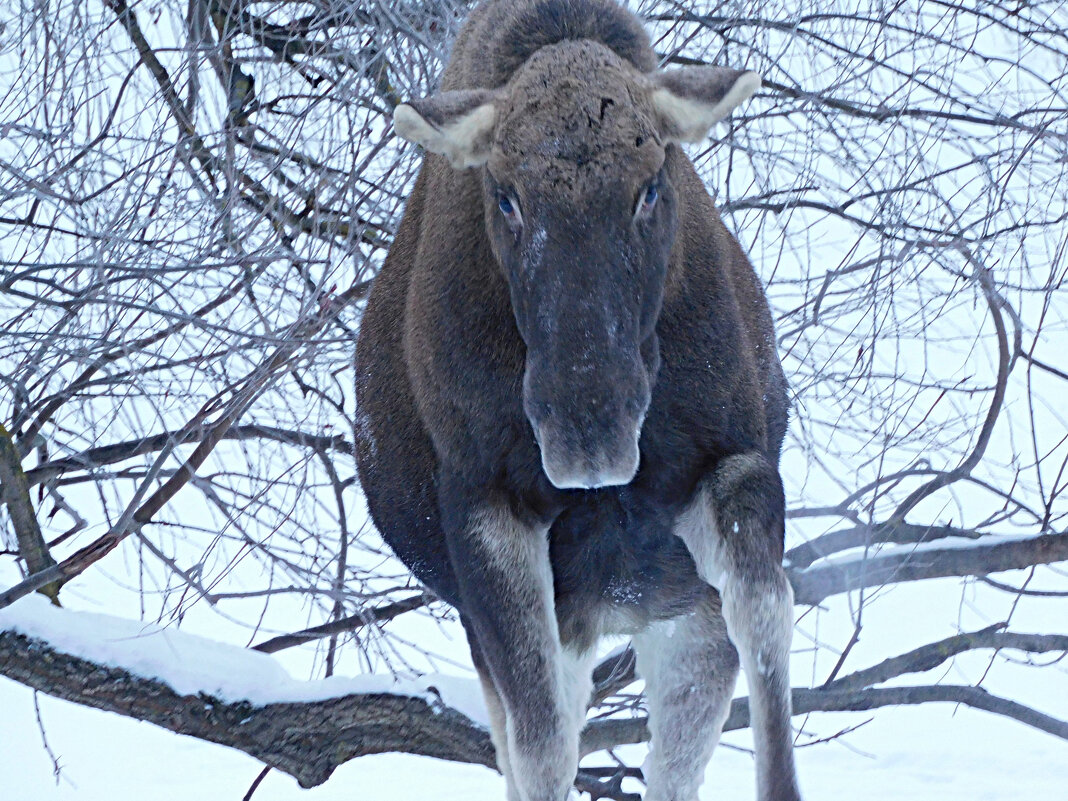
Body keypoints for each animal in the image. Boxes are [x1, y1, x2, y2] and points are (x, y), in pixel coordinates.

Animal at [356, 1, 803, 801]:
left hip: (663, 602)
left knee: (674, 753)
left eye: (652, 183)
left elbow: (765, 610)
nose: (587, 427)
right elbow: (543, 739)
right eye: (505, 195)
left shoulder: (726, 463)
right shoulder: (486, 503)